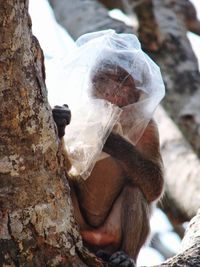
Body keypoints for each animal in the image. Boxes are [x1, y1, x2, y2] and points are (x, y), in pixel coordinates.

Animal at [52, 59, 163, 266]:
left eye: (123, 81)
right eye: (105, 78)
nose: (111, 92)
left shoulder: (150, 128)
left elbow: (155, 187)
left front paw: (110, 136)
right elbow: (66, 167)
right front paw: (60, 121)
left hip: (112, 233)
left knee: (134, 191)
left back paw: (126, 256)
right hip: (81, 228)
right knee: (66, 182)